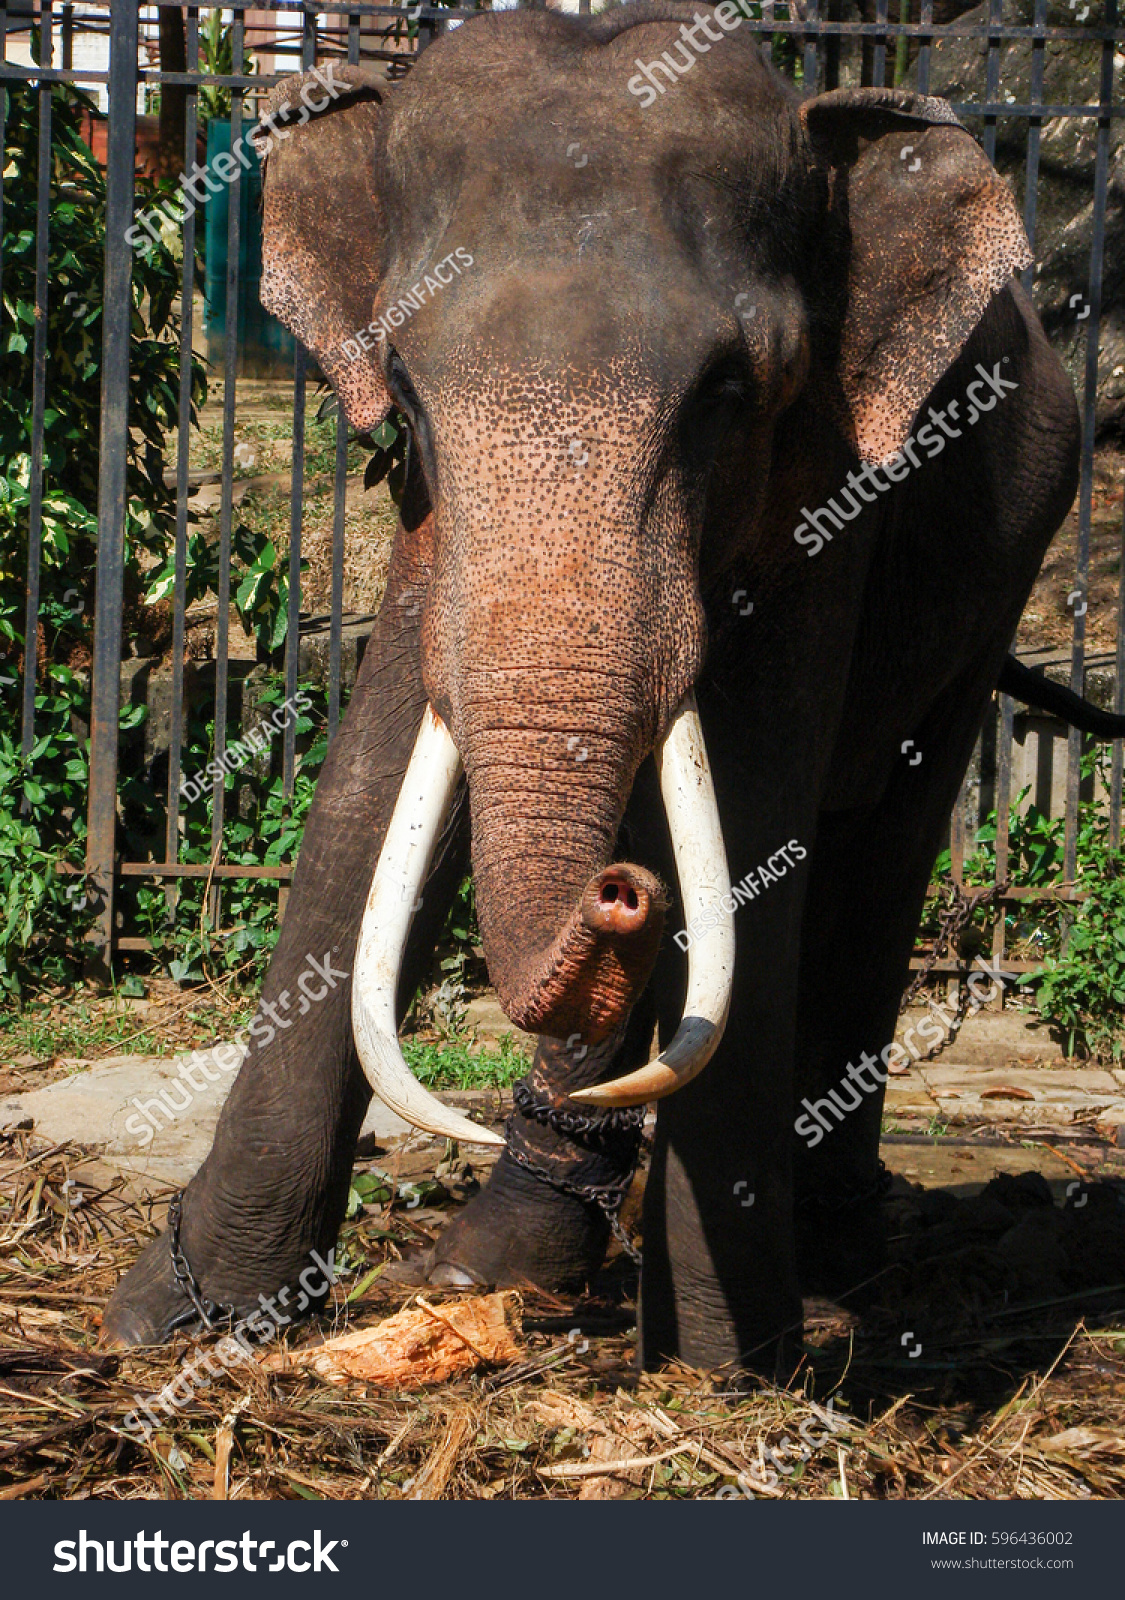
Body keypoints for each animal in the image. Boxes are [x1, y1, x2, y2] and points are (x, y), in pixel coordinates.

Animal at [105, 0, 1081, 1376]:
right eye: (405, 388)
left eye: (732, 393)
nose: (615, 893)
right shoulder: (432, 525)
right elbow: (368, 795)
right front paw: (172, 1318)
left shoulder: (832, 491)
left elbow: (758, 829)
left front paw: (733, 1369)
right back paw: (490, 1264)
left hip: (1003, 575)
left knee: (881, 855)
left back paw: (836, 1274)